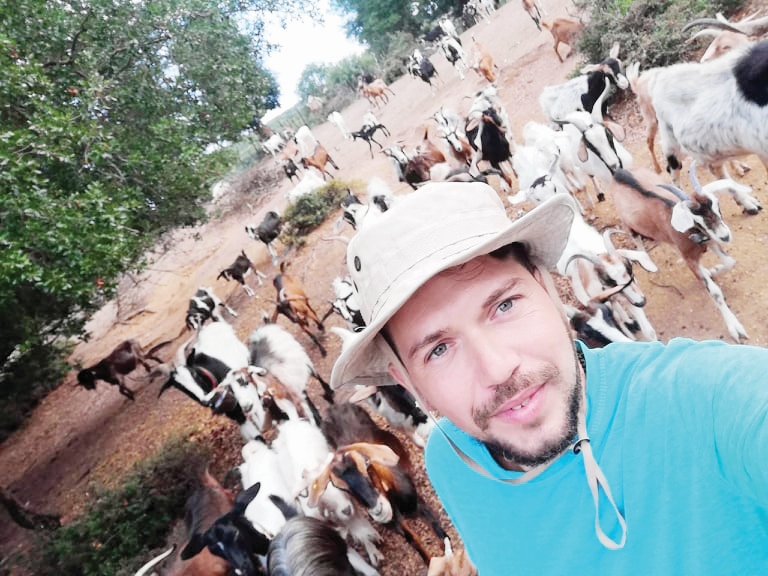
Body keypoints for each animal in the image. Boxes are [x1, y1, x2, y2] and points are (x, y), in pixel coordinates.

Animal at [607, 163, 749, 342]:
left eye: (717, 205)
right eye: (696, 219)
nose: (725, 236)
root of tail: (618, 173)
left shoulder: (710, 241)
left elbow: (730, 262)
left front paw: (713, 270)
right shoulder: (690, 259)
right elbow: (715, 292)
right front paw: (735, 328)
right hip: (629, 226)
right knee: (637, 241)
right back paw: (648, 262)